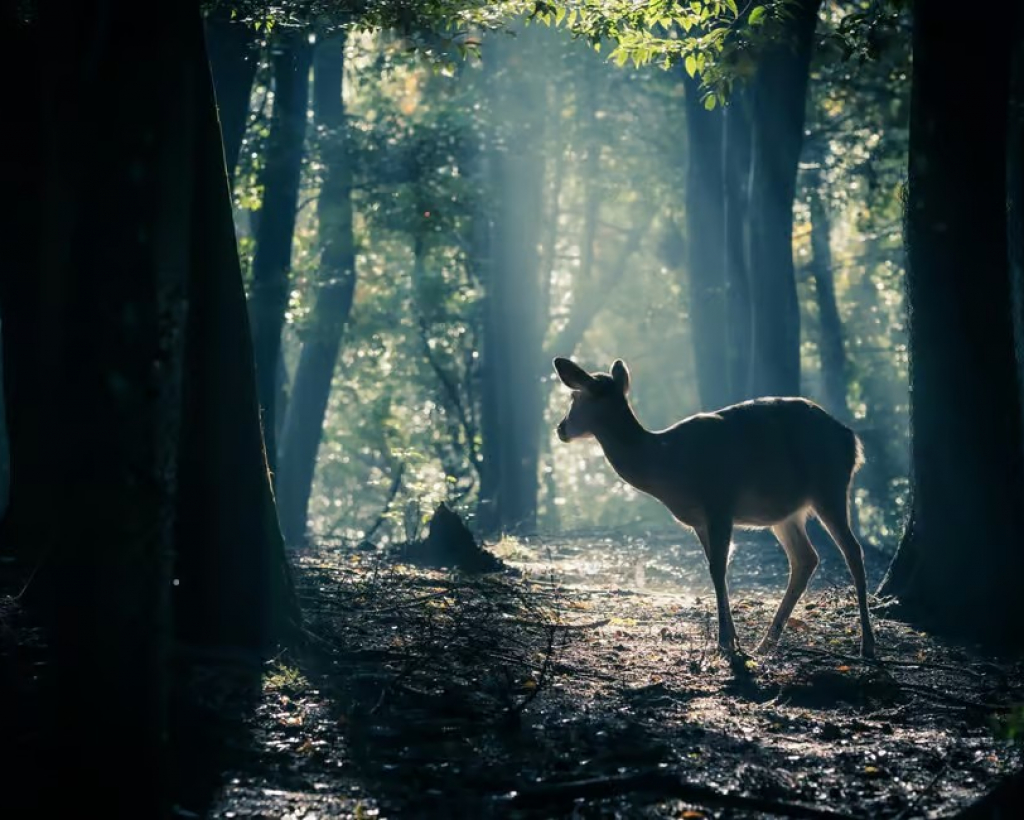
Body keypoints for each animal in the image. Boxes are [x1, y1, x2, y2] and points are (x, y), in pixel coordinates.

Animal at [552, 357, 876, 659]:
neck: (667, 462)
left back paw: (867, 644)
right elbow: (714, 568)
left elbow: (718, 567)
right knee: (806, 558)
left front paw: (724, 641)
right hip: (787, 513)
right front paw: (732, 640)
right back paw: (766, 643)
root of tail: (853, 440)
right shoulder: (700, 520)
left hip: (829, 485)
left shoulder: (720, 501)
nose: (560, 428)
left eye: (575, 397)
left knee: (852, 550)